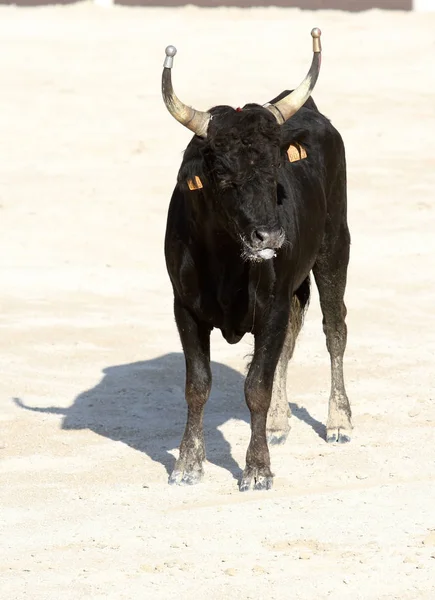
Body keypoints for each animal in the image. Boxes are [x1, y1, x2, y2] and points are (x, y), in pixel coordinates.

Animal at [163, 56, 350, 492]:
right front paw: (187, 464)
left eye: (276, 167)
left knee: (334, 329)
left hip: (335, 250)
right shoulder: (185, 310)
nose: (270, 235)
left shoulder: (272, 308)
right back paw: (280, 423)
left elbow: (257, 387)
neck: (226, 263)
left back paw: (338, 421)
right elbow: (197, 385)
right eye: (222, 174)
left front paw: (257, 469)